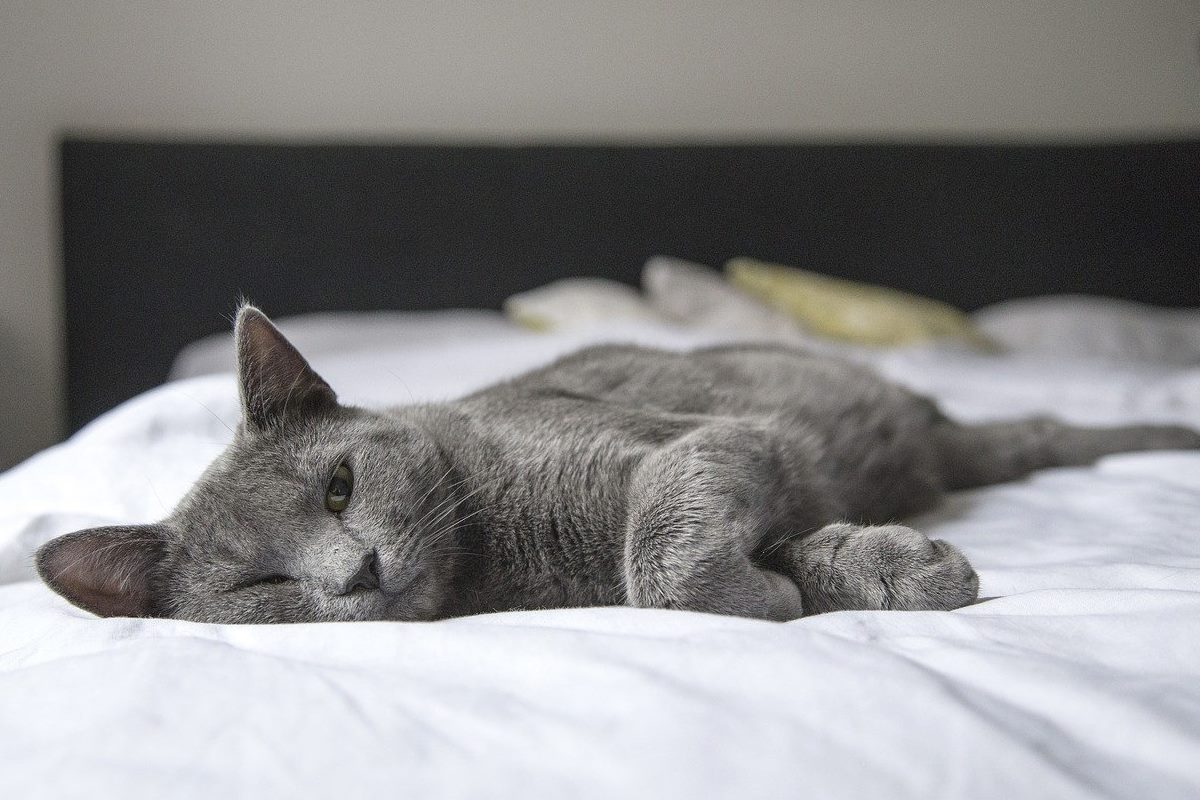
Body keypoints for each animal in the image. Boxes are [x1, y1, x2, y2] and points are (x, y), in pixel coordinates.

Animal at [35, 303, 1200, 623]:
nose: (355, 571)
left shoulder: (691, 442)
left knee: (1043, 430)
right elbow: (700, 565)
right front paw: (868, 572)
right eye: (259, 584)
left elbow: (659, 552)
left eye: (338, 486)